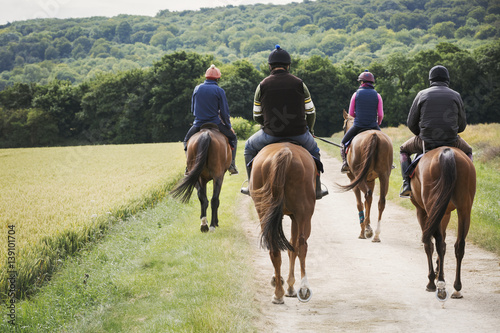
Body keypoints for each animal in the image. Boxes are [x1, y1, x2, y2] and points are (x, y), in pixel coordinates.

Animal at [250, 143, 316, 304]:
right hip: (304, 214)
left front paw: (281, 281)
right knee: (301, 245)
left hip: (264, 211)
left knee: (275, 248)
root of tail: (284, 151)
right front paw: (290, 286)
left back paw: (278, 293)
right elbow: (293, 248)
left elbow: (290, 248)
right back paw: (303, 288)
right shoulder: (295, 217)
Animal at [340, 109, 394, 241]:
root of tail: (374, 136)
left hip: (358, 177)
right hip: (384, 177)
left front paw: (365, 228)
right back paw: (376, 234)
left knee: (368, 196)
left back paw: (363, 232)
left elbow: (360, 203)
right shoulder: (371, 180)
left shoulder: (353, 179)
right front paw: (368, 226)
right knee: (380, 201)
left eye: (343, 126)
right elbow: (367, 203)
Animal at [410, 147, 476, 300]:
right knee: (459, 245)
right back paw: (457, 288)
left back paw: (439, 284)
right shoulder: (444, 213)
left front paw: (431, 279)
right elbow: (445, 243)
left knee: (437, 243)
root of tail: (447, 152)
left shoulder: (421, 211)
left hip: (430, 207)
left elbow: (429, 244)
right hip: (464, 209)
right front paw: (439, 270)